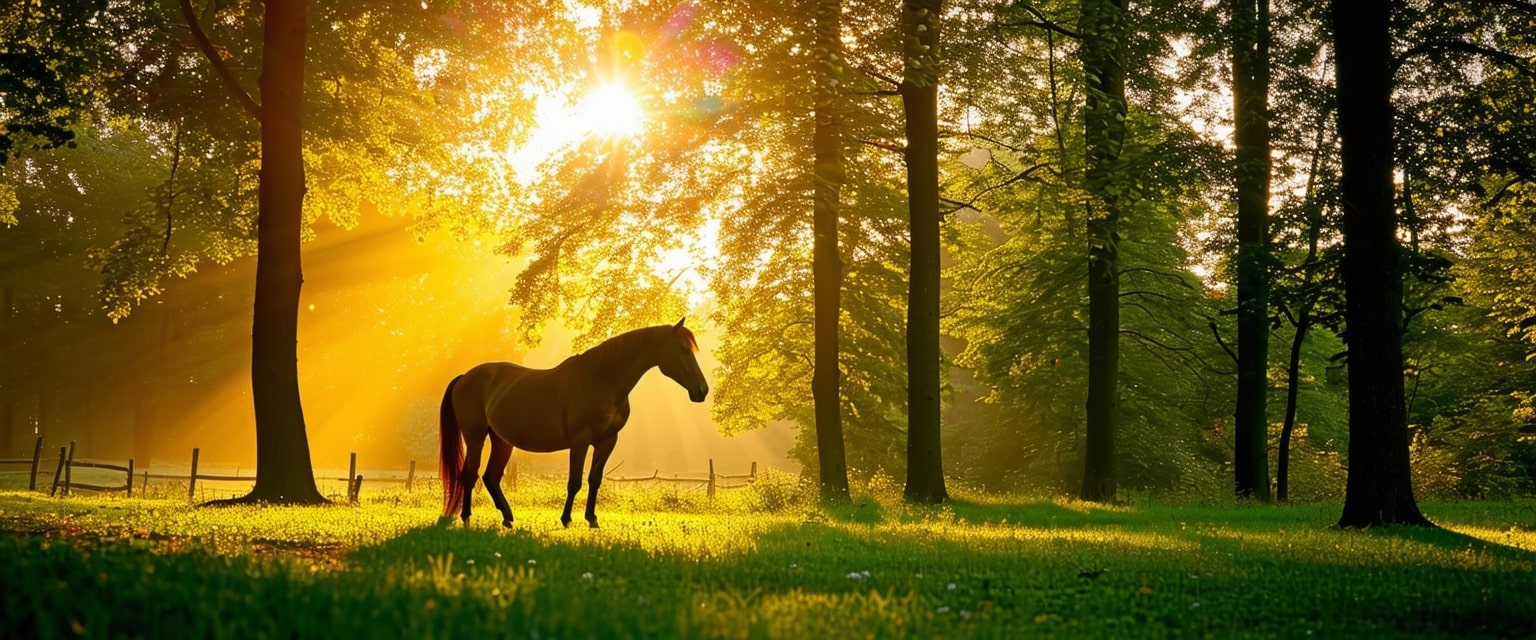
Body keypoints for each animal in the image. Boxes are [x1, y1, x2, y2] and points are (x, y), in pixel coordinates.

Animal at [439, 316, 706, 524]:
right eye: (684, 350)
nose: (702, 391)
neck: (602, 379)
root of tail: (465, 377)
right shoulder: (580, 440)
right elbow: (575, 481)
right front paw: (567, 519)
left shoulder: (607, 440)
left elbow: (594, 480)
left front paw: (592, 519)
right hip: (475, 438)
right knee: (469, 475)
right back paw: (466, 517)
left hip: (502, 441)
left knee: (491, 476)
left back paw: (507, 518)